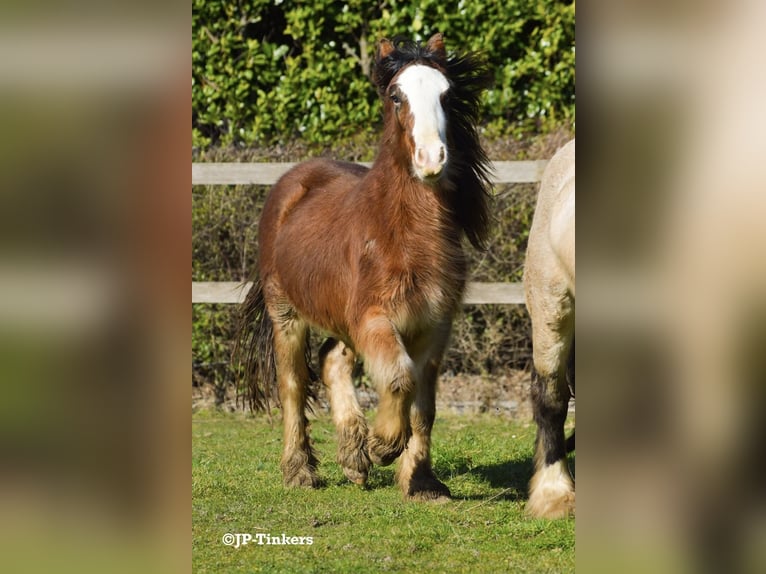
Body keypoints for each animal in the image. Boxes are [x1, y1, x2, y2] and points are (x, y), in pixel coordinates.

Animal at [237, 35, 496, 500]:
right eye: (396, 96)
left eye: (447, 95)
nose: (431, 159)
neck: (402, 234)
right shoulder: (374, 317)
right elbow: (398, 379)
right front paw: (384, 445)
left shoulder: (433, 325)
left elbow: (424, 405)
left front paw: (421, 481)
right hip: (287, 314)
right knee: (293, 384)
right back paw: (301, 471)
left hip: (343, 321)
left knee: (331, 360)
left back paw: (353, 459)